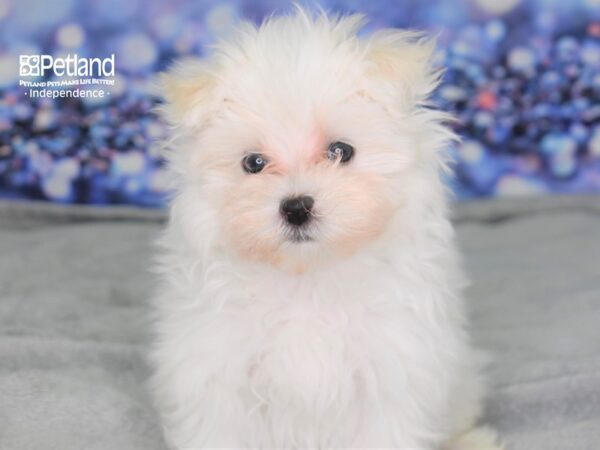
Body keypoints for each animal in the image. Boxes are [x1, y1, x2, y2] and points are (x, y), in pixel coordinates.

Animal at [150, 7, 502, 450]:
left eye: (340, 151)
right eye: (253, 163)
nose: (297, 208)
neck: (308, 277)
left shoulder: (392, 372)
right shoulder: (217, 376)